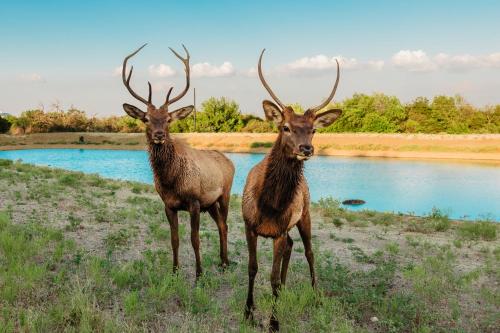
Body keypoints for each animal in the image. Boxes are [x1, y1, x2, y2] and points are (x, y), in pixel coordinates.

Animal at [121, 44, 234, 278]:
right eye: (146, 118)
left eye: (168, 119)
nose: (159, 134)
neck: (171, 181)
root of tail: (229, 161)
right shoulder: (168, 205)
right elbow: (174, 239)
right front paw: (174, 271)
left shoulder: (194, 201)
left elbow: (195, 239)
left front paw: (199, 274)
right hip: (211, 203)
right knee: (221, 224)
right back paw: (222, 261)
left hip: (225, 194)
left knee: (226, 225)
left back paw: (226, 262)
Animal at [243, 49, 344, 330]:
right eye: (285, 127)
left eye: (314, 130)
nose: (306, 148)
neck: (268, 206)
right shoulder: (248, 226)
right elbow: (252, 268)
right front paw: (248, 312)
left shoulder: (278, 231)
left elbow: (273, 278)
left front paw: (274, 322)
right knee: (291, 246)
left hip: (305, 215)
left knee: (309, 251)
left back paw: (317, 295)